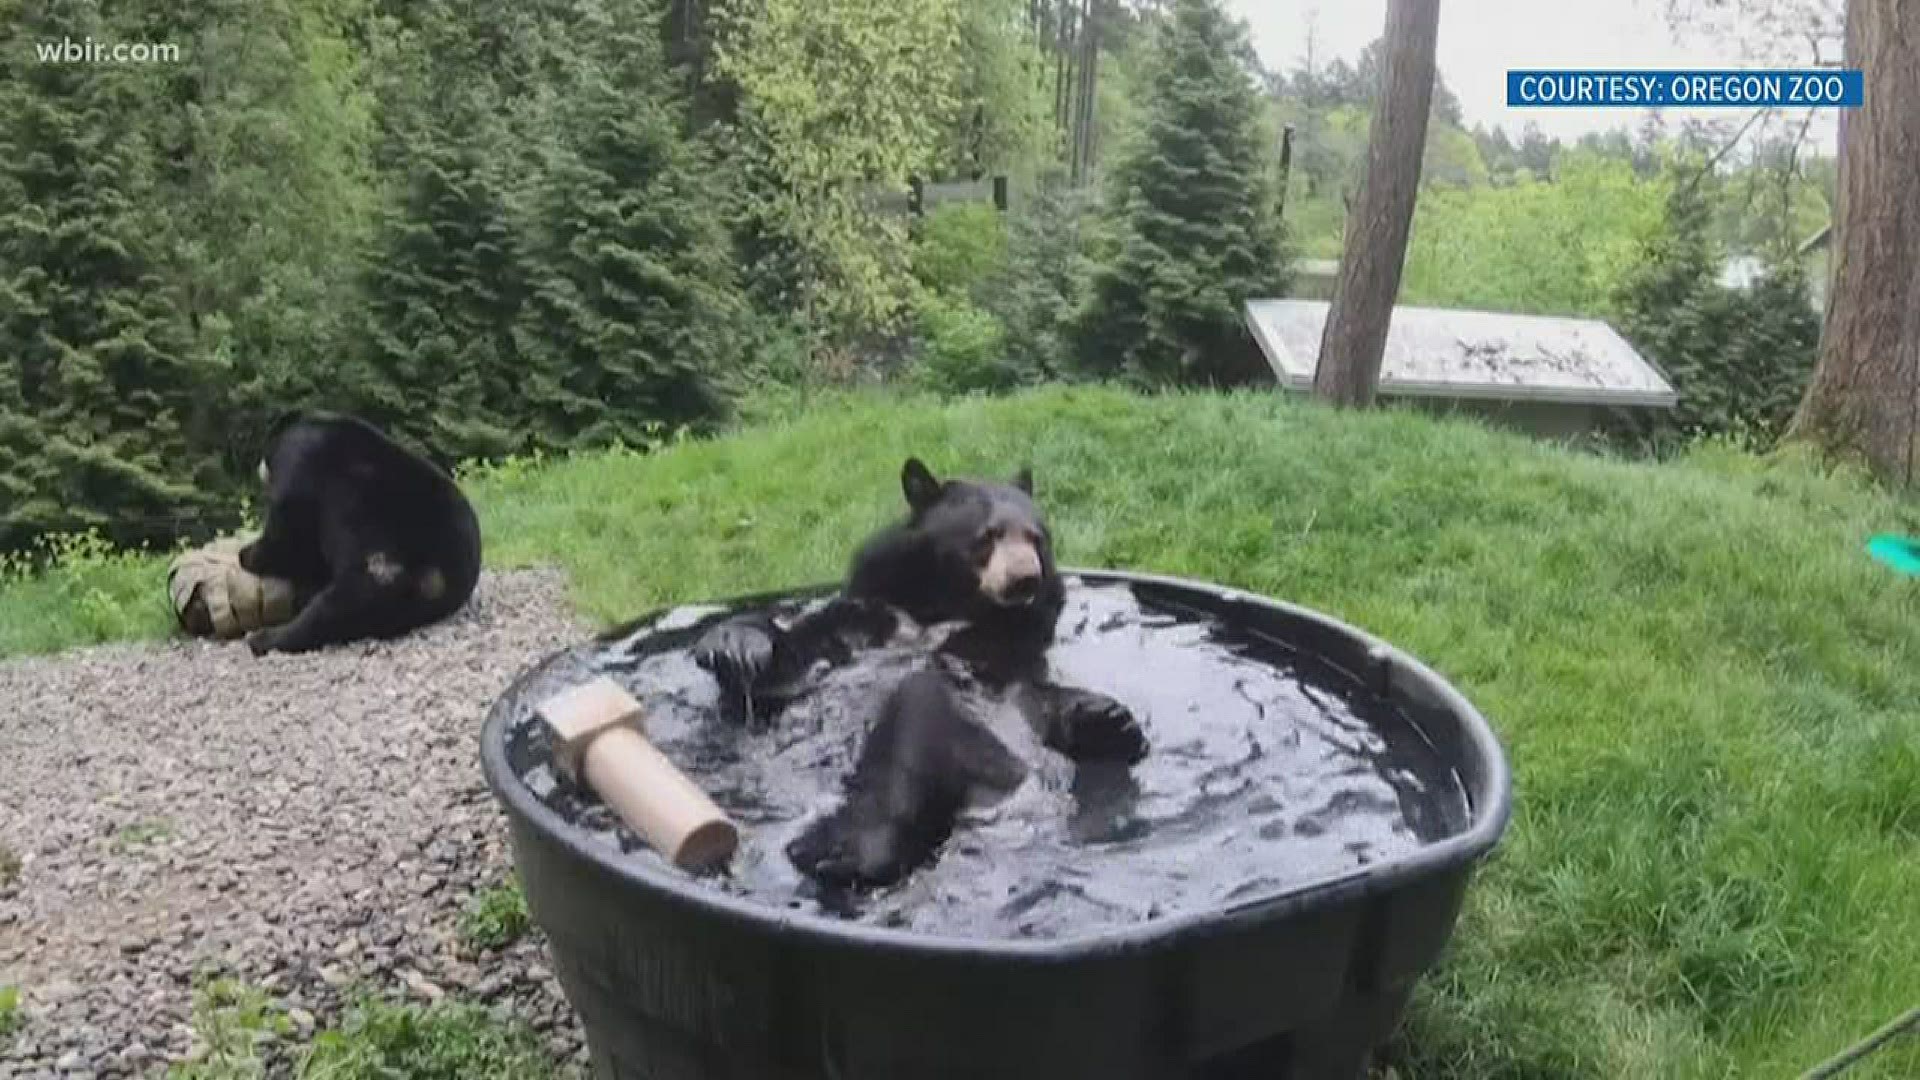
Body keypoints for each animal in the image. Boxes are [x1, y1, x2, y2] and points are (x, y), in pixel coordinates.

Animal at [235, 407, 483, 653]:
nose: (258, 467)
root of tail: (440, 576)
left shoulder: (299, 464)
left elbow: (292, 534)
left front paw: (247, 554)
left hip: (382, 558)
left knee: (341, 603)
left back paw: (265, 638)